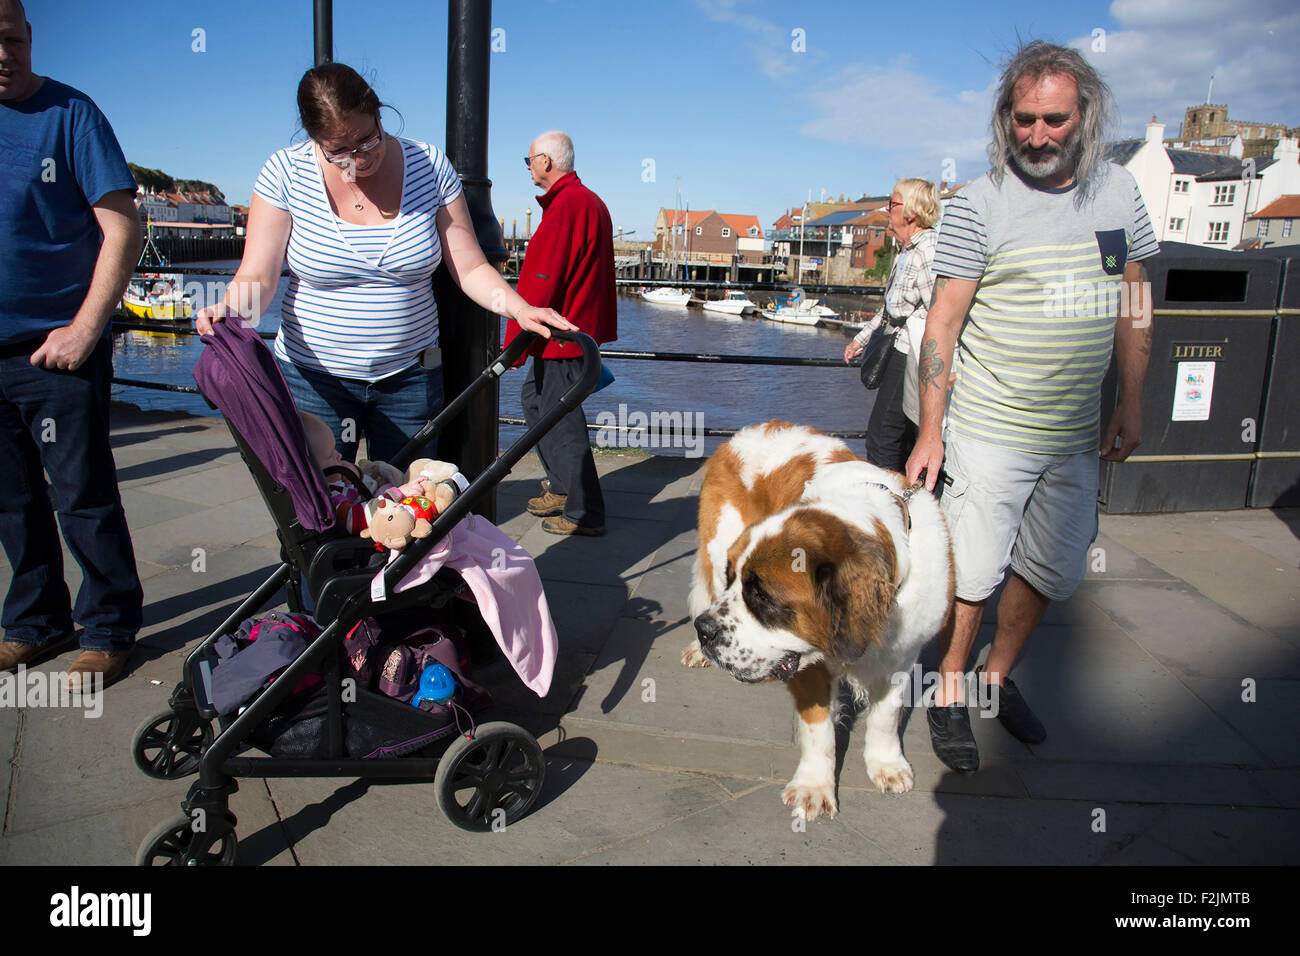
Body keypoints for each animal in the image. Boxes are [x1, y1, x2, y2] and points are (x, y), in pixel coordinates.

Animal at [681, 421, 956, 816]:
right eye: (741, 583)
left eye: (763, 596)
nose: (704, 630)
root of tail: (745, 431)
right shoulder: (803, 658)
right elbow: (818, 728)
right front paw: (813, 786)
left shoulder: (903, 652)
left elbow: (887, 714)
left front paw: (886, 763)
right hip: (718, 543)